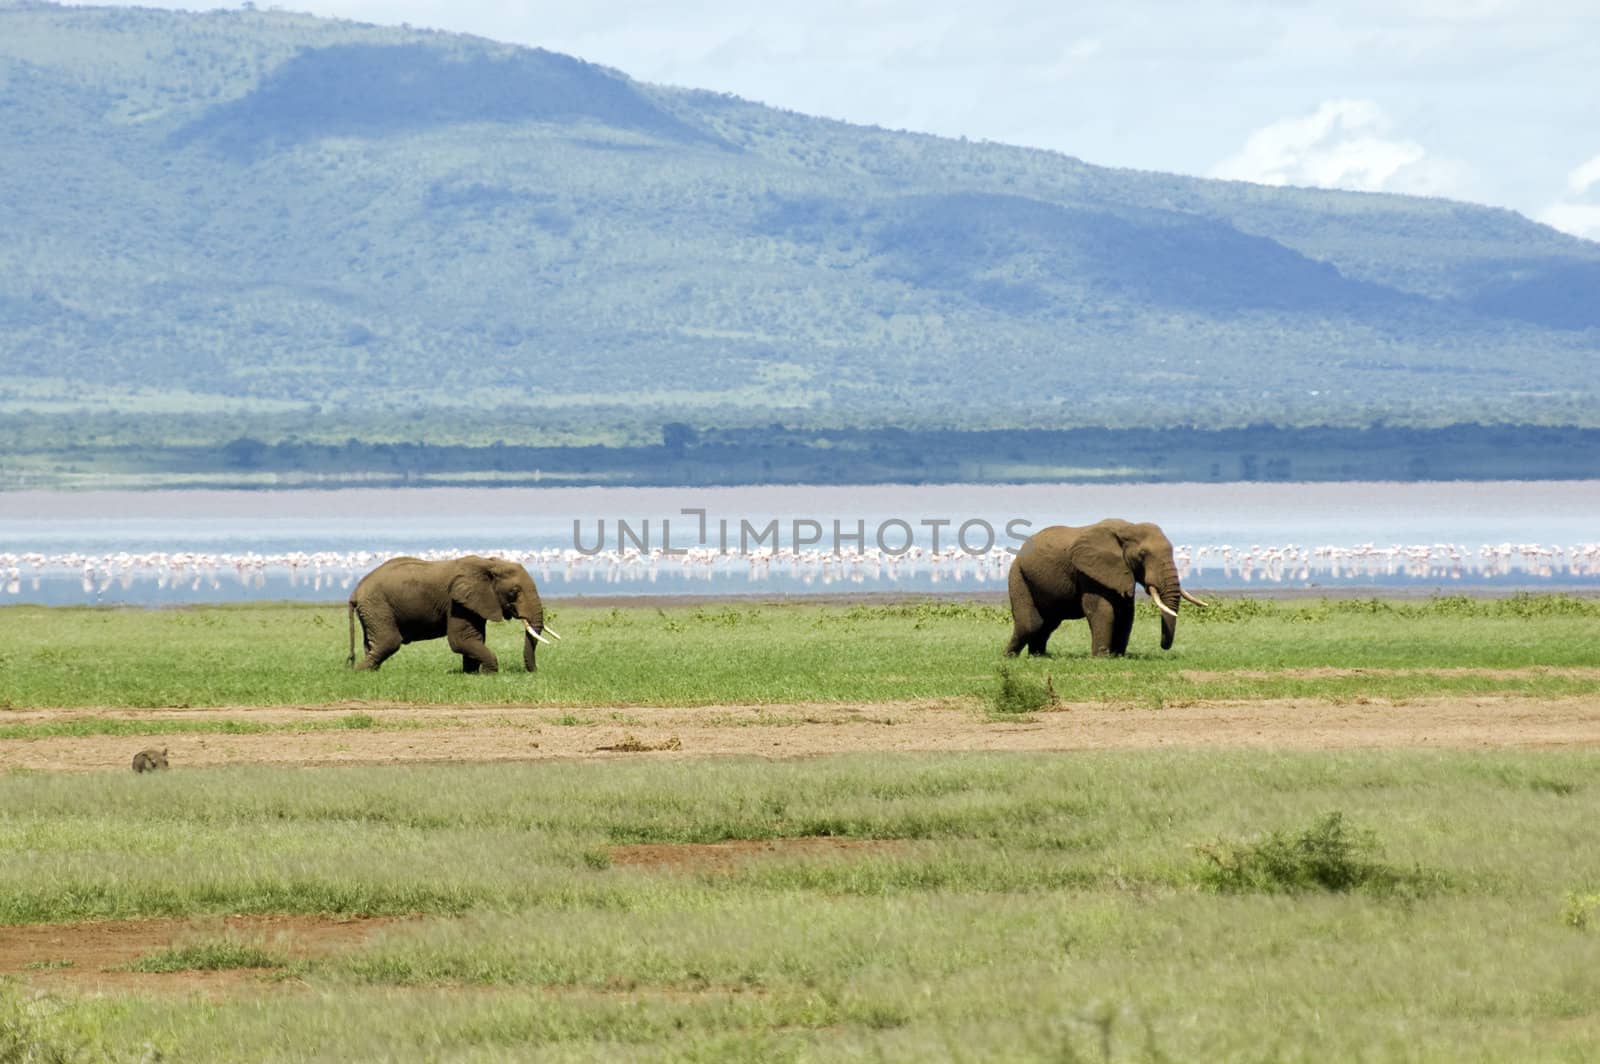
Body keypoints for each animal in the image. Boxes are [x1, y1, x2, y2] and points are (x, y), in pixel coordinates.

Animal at [347, 556, 560, 672]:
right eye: (514, 592)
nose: (535, 672)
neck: (488, 564)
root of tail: (355, 591)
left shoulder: (474, 603)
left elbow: (474, 638)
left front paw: (471, 674)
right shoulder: (457, 602)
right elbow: (461, 640)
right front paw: (489, 673)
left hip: (373, 609)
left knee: (373, 644)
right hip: (377, 605)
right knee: (389, 641)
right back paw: (358, 673)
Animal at [1004, 515, 1203, 656]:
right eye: (1142, 555)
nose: (1163, 646)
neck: (1129, 528)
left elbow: (1126, 612)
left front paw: (1118, 656)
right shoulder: (1089, 571)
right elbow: (1102, 610)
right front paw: (1102, 657)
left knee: (1048, 623)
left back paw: (1039, 656)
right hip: (1018, 574)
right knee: (1031, 623)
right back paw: (1009, 657)